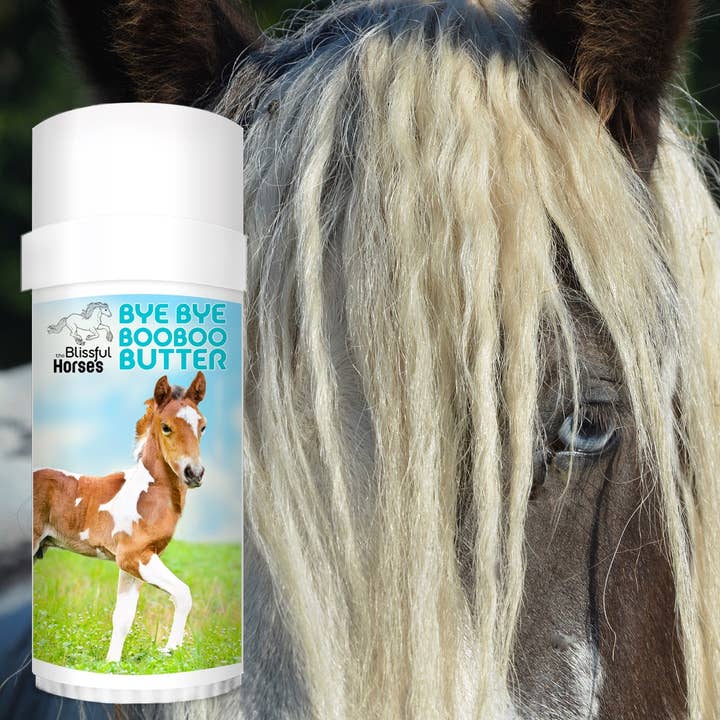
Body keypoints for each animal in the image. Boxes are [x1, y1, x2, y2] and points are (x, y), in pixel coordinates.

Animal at [33, 371, 207, 663]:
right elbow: (183, 594)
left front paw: (112, 665)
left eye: (202, 426)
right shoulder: (134, 557)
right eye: (166, 427)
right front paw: (170, 650)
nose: (194, 473)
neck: (147, 492)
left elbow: (123, 618)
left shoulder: (132, 563)